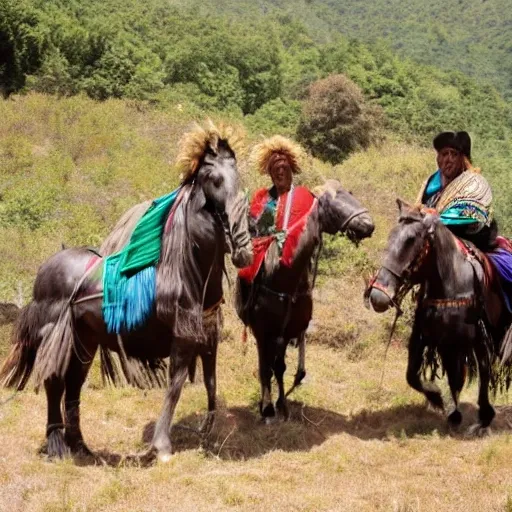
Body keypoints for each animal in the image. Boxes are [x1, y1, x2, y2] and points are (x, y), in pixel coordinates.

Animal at [0, 122, 254, 462]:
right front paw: (162, 446)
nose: (243, 246)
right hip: (55, 335)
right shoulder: (183, 339)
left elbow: (211, 385)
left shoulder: (207, 337)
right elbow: (175, 387)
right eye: (215, 179)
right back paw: (58, 447)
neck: (188, 270)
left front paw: (207, 433)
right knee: (54, 383)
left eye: (237, 176)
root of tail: (46, 269)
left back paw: (80, 445)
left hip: (84, 343)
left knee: (73, 386)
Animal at [234, 182, 374, 422]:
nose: (368, 224)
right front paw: (267, 409)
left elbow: (280, 367)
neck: (284, 279)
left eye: (350, 194)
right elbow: (265, 369)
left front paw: (282, 405)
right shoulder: (263, 332)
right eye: (330, 202)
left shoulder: (288, 332)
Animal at [366, 199, 510, 432]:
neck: (451, 281)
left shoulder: (471, 341)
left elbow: (474, 374)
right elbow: (414, 375)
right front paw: (440, 401)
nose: (378, 296)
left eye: (411, 240)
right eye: (391, 235)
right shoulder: (429, 337)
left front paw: (479, 418)